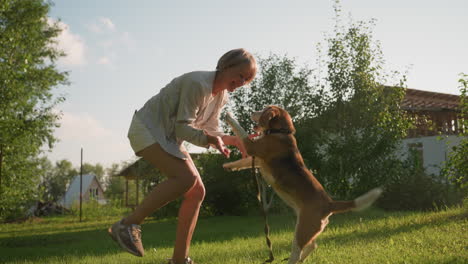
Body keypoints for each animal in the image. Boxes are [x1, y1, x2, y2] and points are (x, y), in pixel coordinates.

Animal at [224, 105, 384, 264]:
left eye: (264, 110)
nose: (252, 112)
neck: (281, 132)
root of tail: (330, 203)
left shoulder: (252, 147)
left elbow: (240, 131)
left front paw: (229, 115)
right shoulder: (258, 159)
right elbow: (243, 162)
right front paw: (229, 166)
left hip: (301, 230)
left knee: (298, 250)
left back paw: (293, 260)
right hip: (307, 229)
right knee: (313, 245)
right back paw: (302, 259)